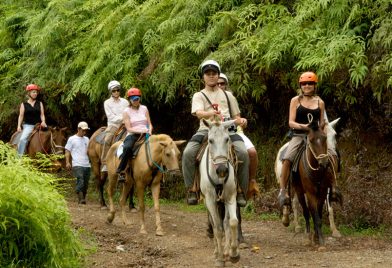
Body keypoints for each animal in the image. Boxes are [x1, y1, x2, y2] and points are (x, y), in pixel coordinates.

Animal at [201, 118, 240, 266]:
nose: (222, 170)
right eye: (210, 140)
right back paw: (217, 251)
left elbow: (232, 222)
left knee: (226, 223)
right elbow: (217, 228)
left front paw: (233, 253)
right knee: (214, 224)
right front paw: (220, 259)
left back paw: (226, 250)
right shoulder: (210, 201)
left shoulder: (230, 197)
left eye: (227, 139)